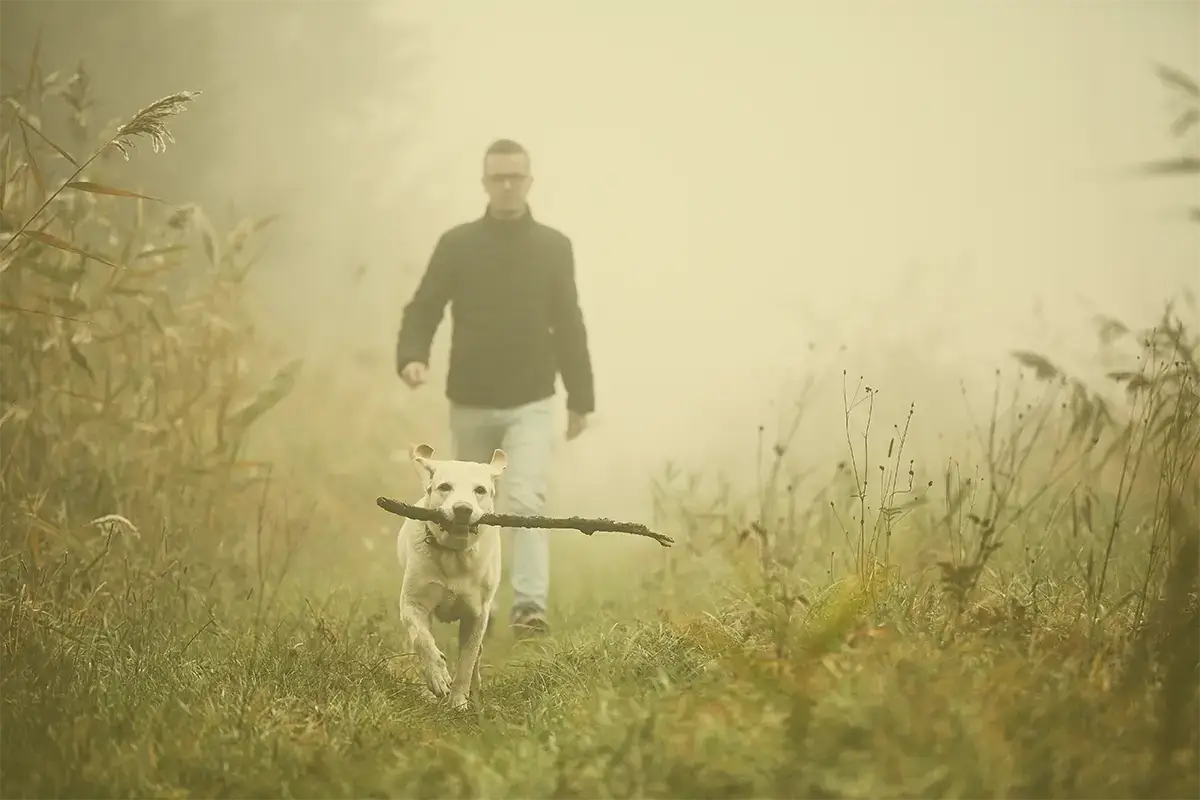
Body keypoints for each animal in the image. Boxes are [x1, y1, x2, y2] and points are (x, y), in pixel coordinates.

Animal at [396, 441, 504, 710]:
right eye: (445, 487)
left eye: (480, 490)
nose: (462, 509)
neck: (454, 556)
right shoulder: (413, 603)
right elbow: (422, 639)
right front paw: (437, 676)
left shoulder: (476, 615)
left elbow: (467, 660)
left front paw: (458, 703)